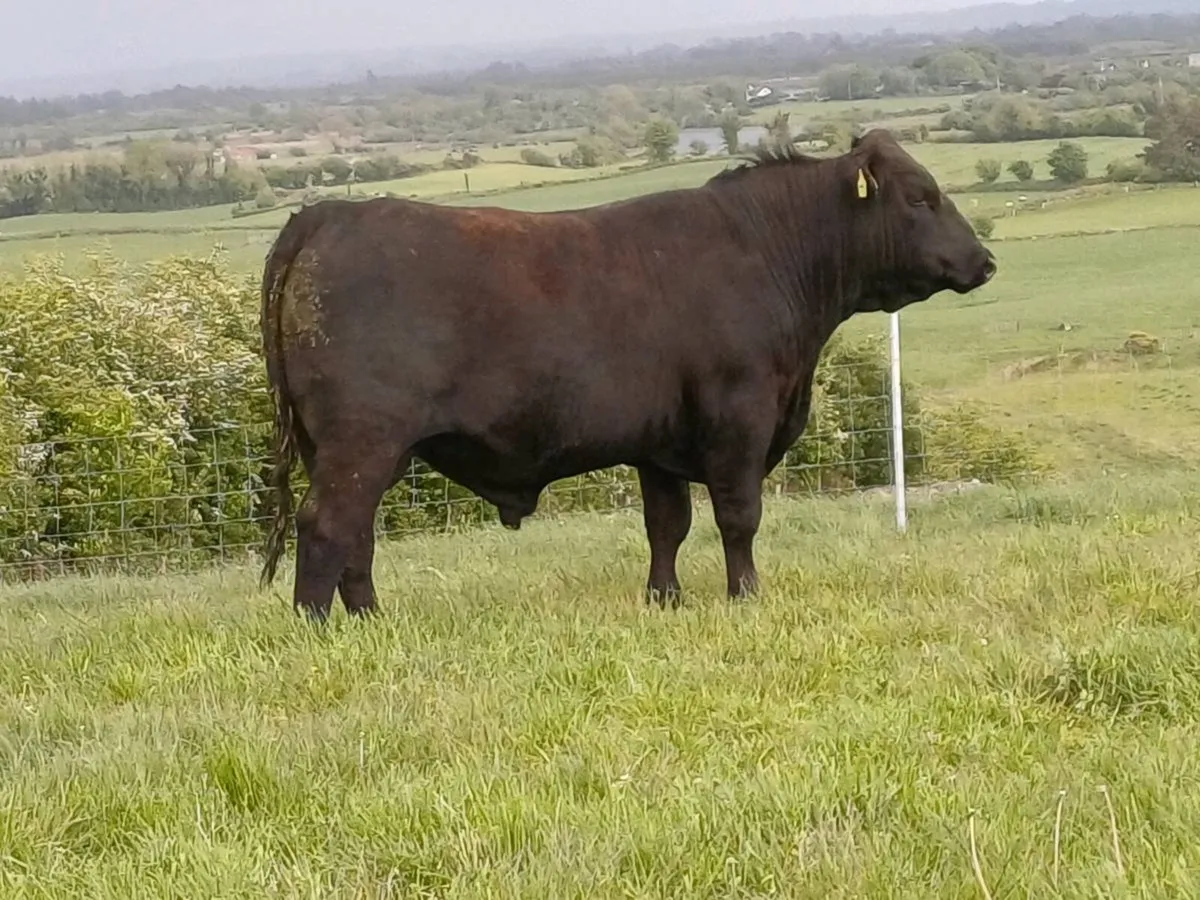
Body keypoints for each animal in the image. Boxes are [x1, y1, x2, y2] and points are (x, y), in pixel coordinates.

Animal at [257, 128, 996, 621]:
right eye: (922, 197)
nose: (985, 260)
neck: (765, 252)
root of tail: (328, 213)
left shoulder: (660, 444)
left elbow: (667, 525)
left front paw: (664, 600)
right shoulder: (739, 420)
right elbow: (739, 517)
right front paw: (746, 596)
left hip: (350, 447)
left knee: (355, 532)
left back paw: (370, 620)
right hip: (364, 439)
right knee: (326, 525)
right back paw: (318, 627)